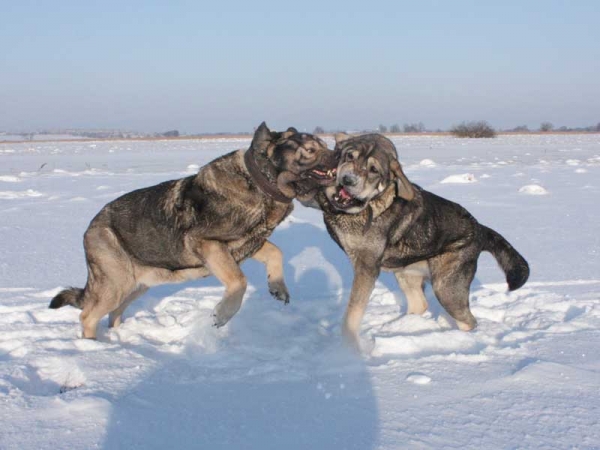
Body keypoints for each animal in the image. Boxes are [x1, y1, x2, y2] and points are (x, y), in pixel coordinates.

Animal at [50, 121, 338, 340]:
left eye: (325, 147)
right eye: (310, 150)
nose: (338, 155)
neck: (258, 183)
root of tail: (91, 227)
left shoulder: (247, 244)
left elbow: (276, 253)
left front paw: (278, 287)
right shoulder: (209, 244)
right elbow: (239, 282)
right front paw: (223, 314)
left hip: (137, 284)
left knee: (113, 313)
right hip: (115, 284)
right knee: (87, 315)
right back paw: (92, 347)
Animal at [314, 132, 528, 350]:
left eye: (373, 170)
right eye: (349, 156)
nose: (348, 180)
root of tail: (480, 229)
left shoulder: (367, 267)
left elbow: (352, 314)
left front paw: (348, 348)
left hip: (446, 287)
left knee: (469, 321)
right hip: (406, 273)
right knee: (420, 304)